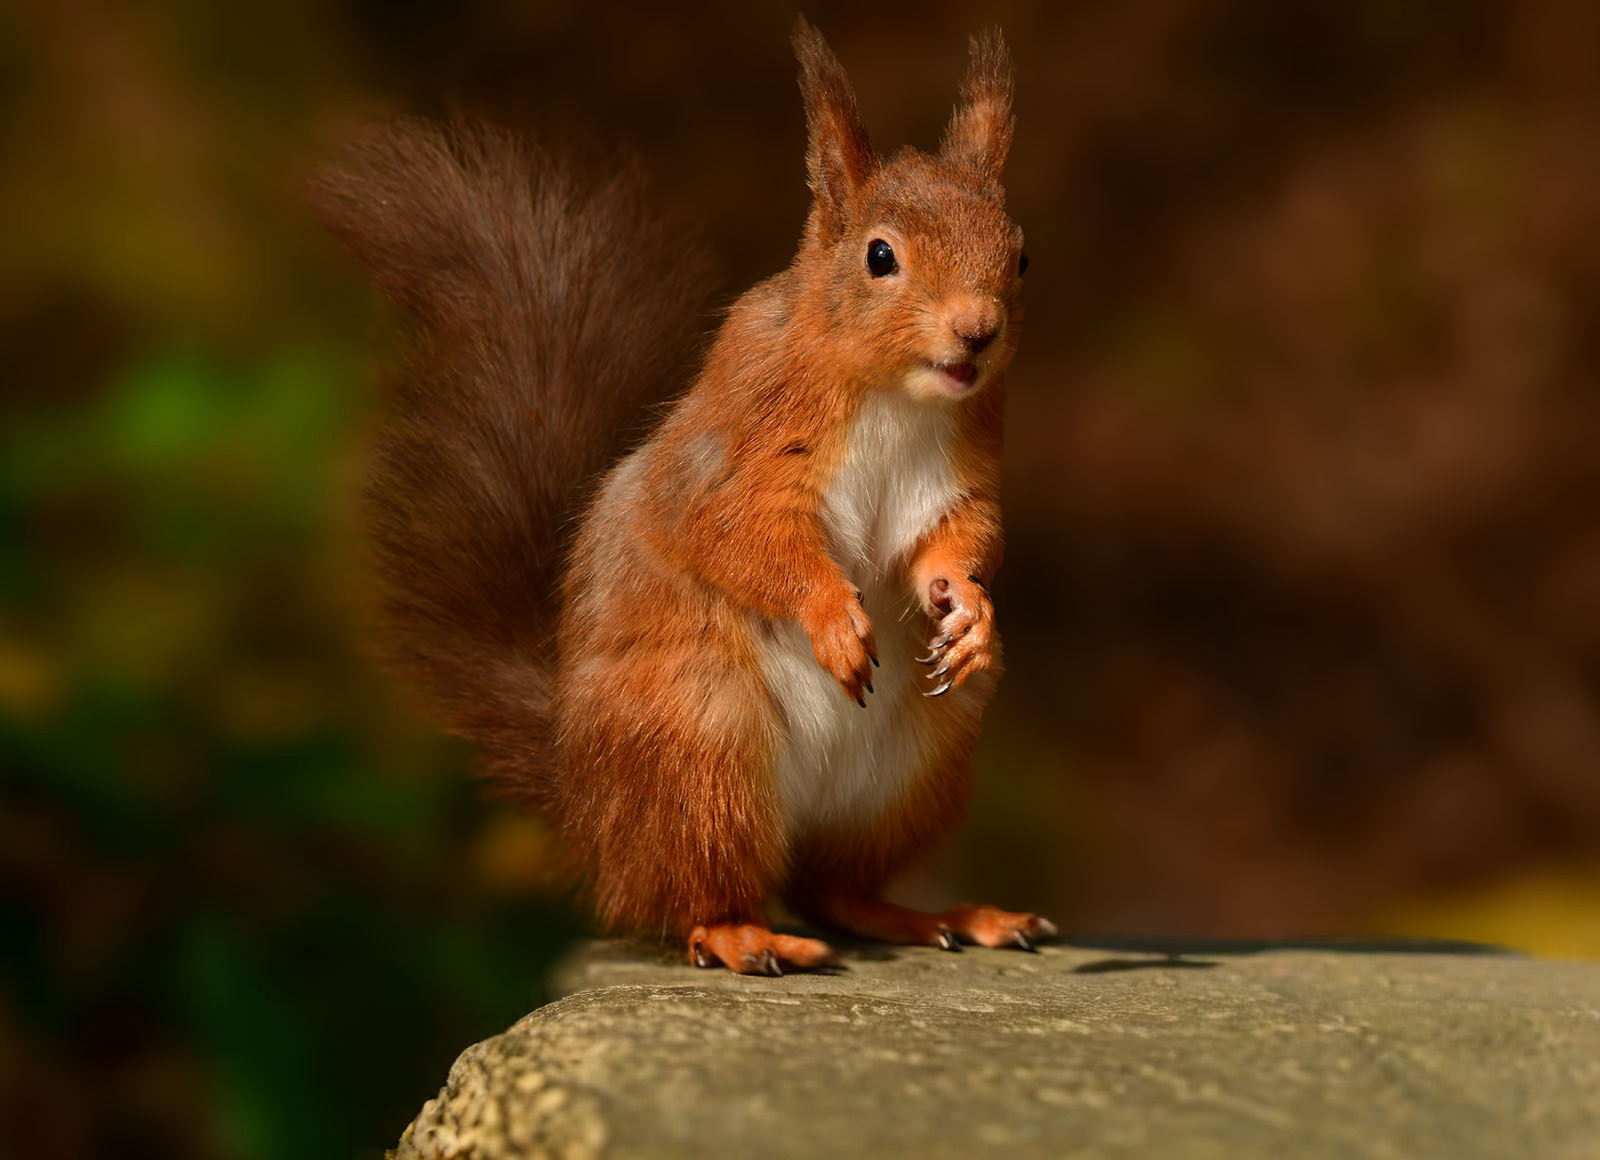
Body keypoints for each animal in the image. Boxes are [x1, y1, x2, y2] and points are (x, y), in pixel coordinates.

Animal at [312, 18, 1055, 975]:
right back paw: (743, 935)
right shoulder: (739, 442)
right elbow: (734, 531)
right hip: (698, 746)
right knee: (689, 899)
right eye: (880, 256)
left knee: (833, 887)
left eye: (1021, 255)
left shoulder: (961, 467)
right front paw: (832, 618)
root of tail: (589, 812)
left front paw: (970, 613)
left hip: (918, 765)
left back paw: (940, 915)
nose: (978, 332)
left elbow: (960, 538)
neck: (897, 394)